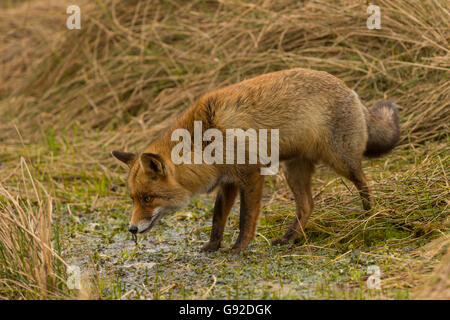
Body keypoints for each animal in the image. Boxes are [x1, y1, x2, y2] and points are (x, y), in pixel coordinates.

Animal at [110, 67, 400, 252]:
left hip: (341, 161)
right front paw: (213, 246)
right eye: (133, 199)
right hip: (293, 171)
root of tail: (351, 89)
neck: (206, 141)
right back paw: (289, 239)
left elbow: (245, 219)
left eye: (148, 198)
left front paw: (238, 249)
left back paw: (368, 217)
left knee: (364, 183)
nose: (131, 229)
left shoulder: (250, 174)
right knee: (307, 205)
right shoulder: (227, 180)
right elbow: (218, 218)